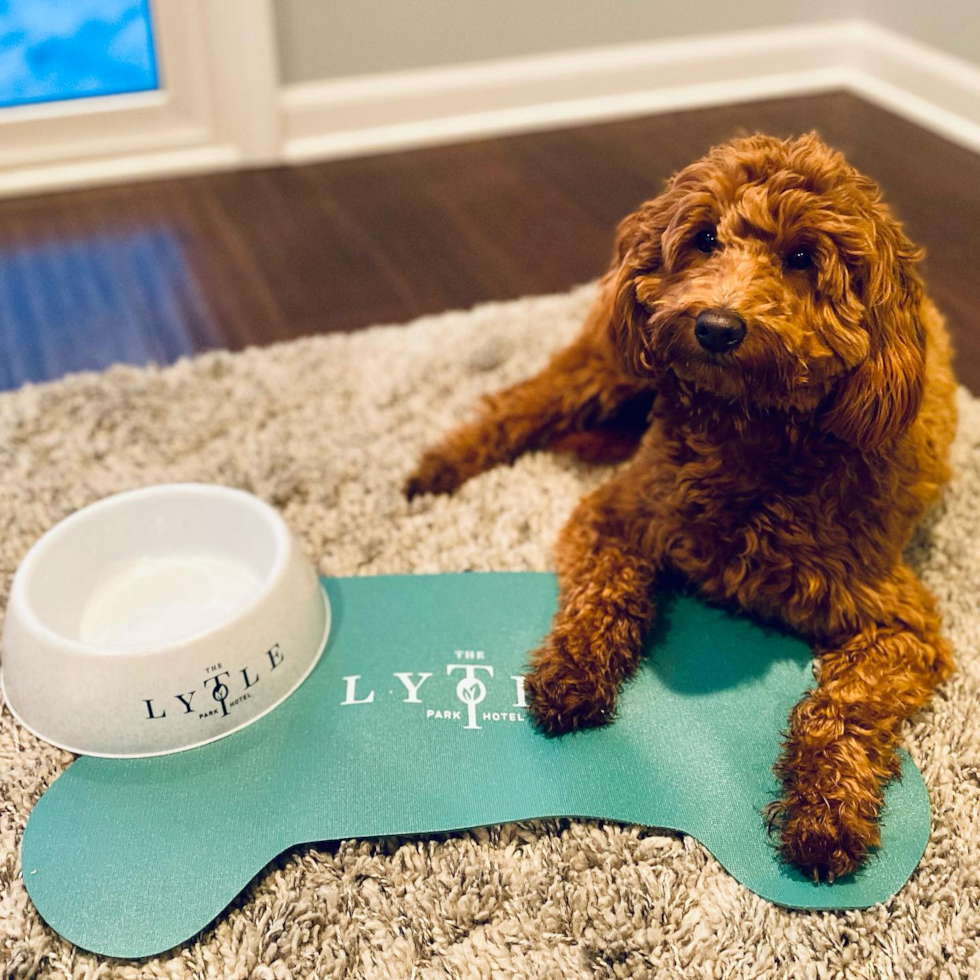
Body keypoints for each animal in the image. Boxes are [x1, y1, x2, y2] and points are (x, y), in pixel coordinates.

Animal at [404, 132, 956, 880]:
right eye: (703, 239)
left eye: (802, 258)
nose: (716, 327)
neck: (748, 435)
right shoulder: (615, 515)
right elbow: (603, 595)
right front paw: (570, 671)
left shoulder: (900, 623)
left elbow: (842, 708)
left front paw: (826, 811)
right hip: (606, 363)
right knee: (518, 402)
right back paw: (441, 465)